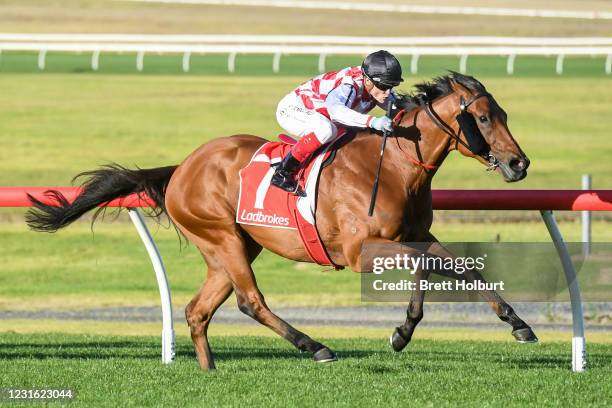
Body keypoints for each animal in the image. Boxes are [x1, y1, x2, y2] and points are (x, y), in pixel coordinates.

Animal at [27, 72, 536, 370]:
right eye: (483, 118)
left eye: (505, 114)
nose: (519, 164)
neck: (395, 164)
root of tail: (182, 168)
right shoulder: (361, 251)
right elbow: (431, 267)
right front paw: (403, 332)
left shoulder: (414, 234)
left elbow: (455, 266)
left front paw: (515, 324)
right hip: (224, 239)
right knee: (250, 302)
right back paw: (316, 347)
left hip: (232, 247)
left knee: (198, 310)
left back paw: (209, 369)